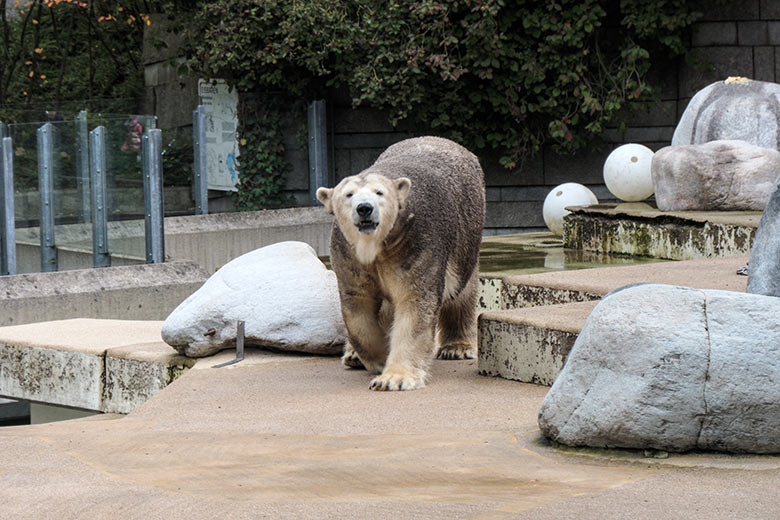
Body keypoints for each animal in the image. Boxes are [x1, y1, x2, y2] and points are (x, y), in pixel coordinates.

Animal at [314, 136, 484, 392]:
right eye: (349, 195)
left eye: (380, 192)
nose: (365, 208)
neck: (377, 246)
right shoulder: (348, 255)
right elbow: (358, 307)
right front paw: (378, 358)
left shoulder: (418, 242)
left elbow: (414, 304)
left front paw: (394, 378)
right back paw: (352, 356)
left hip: (466, 236)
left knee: (462, 292)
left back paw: (457, 347)